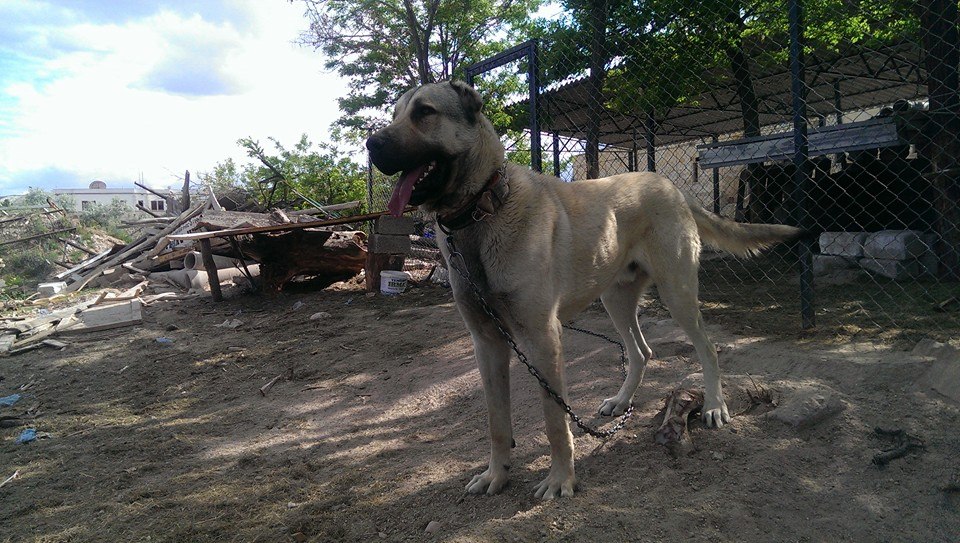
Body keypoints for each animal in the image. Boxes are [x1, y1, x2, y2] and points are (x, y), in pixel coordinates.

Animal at [364, 81, 800, 502]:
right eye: (395, 114)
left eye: (425, 112)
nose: (371, 144)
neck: (483, 212)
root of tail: (669, 185)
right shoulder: (487, 342)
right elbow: (496, 422)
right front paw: (496, 475)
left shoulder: (543, 340)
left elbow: (555, 422)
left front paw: (561, 480)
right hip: (615, 298)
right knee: (641, 351)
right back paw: (622, 401)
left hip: (676, 292)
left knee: (706, 348)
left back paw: (714, 406)